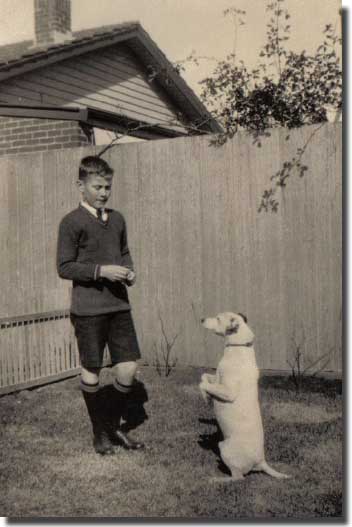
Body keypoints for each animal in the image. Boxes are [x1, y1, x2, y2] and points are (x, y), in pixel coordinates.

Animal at [199, 314, 290, 482]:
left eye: (218, 318)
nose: (201, 319)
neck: (238, 345)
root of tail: (261, 461)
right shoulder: (216, 380)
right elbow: (203, 377)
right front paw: (207, 396)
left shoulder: (228, 392)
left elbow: (203, 384)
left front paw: (206, 396)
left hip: (224, 447)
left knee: (238, 478)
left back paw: (217, 479)